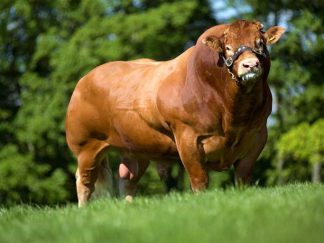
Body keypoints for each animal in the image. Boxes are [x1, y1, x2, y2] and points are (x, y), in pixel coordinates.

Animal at [65, 19, 284, 207]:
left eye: (260, 44)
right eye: (228, 47)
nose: (250, 65)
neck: (233, 113)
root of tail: (85, 79)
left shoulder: (257, 136)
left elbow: (243, 179)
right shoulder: (188, 139)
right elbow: (199, 181)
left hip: (138, 148)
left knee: (128, 180)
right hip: (86, 146)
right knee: (84, 182)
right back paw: (83, 209)